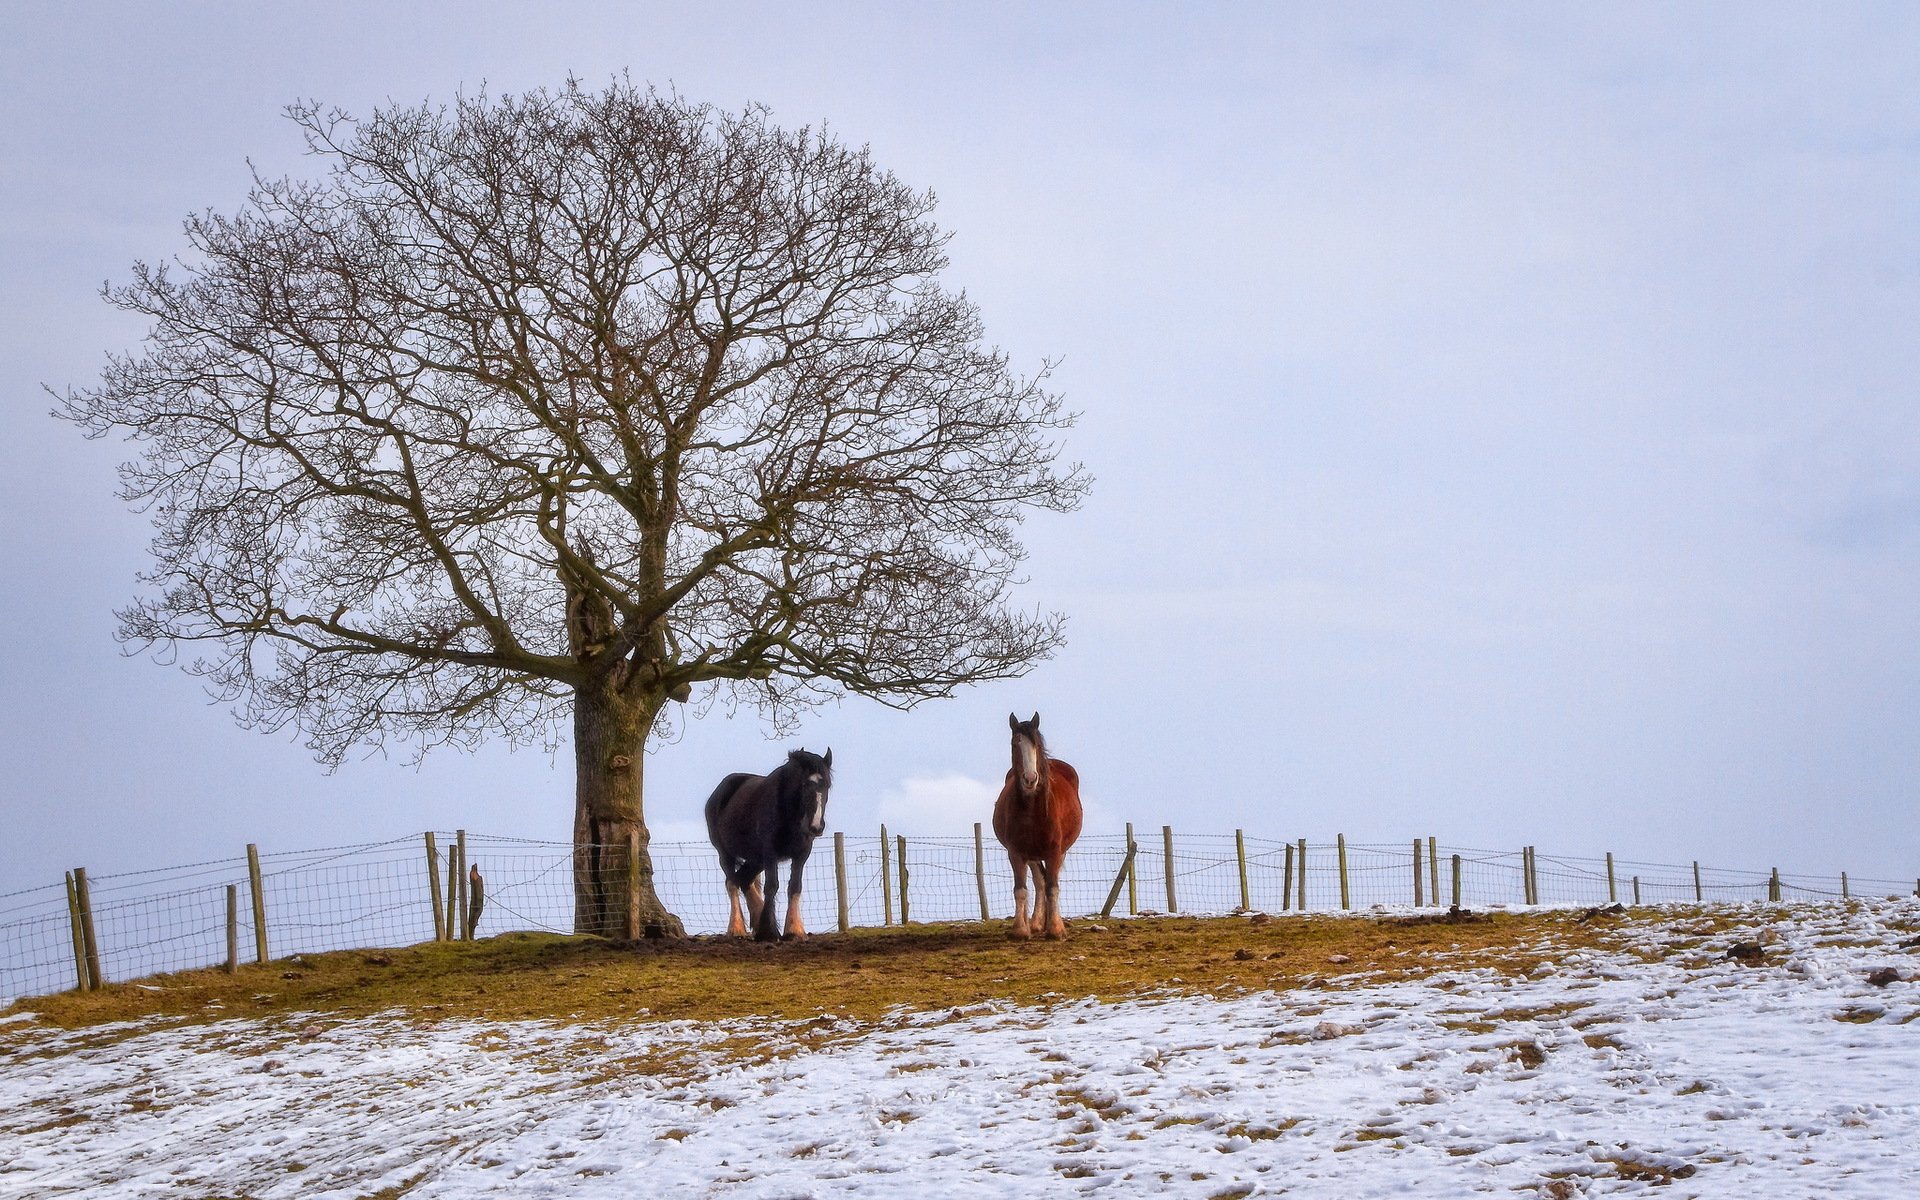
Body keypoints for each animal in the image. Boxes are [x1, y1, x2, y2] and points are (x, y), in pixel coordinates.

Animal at [704, 748, 833, 942]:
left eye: (827, 785)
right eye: (803, 784)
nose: (815, 826)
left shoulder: (802, 854)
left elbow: (795, 886)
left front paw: (794, 930)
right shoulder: (770, 853)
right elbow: (772, 886)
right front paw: (769, 932)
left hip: (756, 859)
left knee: (744, 880)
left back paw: (756, 921)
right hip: (725, 854)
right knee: (732, 882)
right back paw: (736, 928)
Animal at [991, 713, 1083, 940]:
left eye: (1037, 745)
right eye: (1015, 744)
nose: (1030, 779)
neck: (1032, 809)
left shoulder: (1054, 851)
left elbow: (1053, 887)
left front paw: (1056, 929)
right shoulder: (1016, 852)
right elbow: (1021, 889)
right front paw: (1020, 929)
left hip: (1059, 851)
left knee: (1047, 882)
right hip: (1031, 854)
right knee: (1038, 881)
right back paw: (1034, 922)